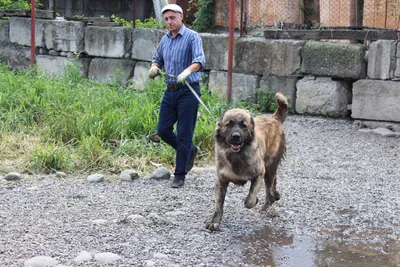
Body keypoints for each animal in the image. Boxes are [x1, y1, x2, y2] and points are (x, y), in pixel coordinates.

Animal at [203, 93, 288, 231]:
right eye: (229, 124)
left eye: (244, 125)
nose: (236, 136)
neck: (236, 156)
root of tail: (274, 118)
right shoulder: (221, 181)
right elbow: (218, 205)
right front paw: (214, 222)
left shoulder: (259, 174)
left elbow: (249, 200)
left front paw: (255, 200)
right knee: (273, 184)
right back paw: (275, 196)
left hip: (269, 167)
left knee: (269, 188)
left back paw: (268, 205)